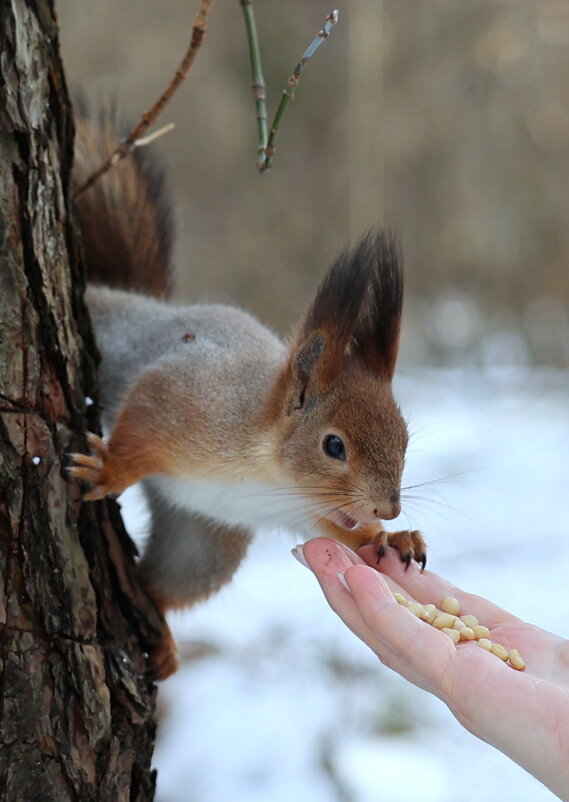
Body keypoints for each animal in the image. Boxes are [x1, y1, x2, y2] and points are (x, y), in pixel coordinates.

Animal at [69, 111, 424, 676]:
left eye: (406, 441)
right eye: (333, 445)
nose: (387, 510)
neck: (269, 473)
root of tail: (138, 299)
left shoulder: (312, 512)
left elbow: (342, 532)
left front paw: (391, 539)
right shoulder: (189, 400)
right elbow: (144, 413)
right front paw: (108, 470)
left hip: (205, 548)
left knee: (160, 587)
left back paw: (164, 641)